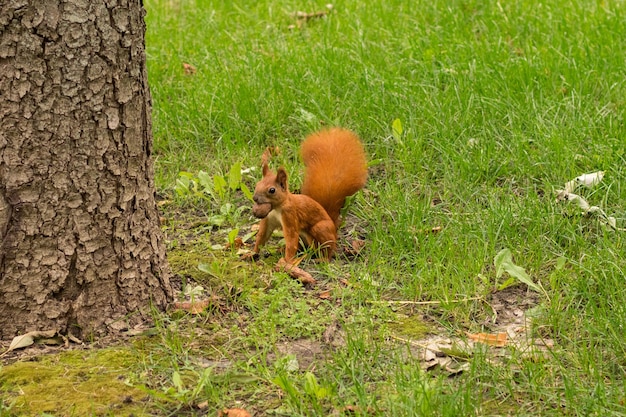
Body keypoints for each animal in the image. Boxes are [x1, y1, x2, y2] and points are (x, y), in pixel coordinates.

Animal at [249, 127, 366, 264]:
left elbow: (291, 238)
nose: (255, 198)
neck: (276, 208)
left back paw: (322, 259)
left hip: (320, 229)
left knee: (328, 249)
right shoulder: (268, 219)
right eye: (257, 185)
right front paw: (252, 253)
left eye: (272, 190)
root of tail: (334, 228)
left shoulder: (290, 215)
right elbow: (262, 236)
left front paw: (286, 262)